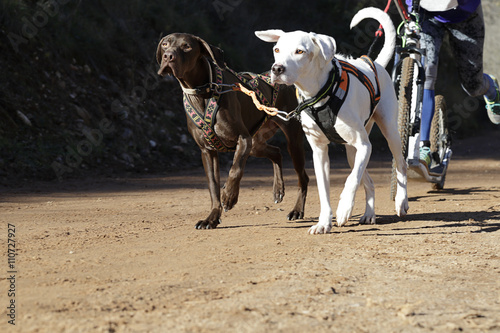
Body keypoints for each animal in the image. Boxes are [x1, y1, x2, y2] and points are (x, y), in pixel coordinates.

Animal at [156, 33, 308, 228]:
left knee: (302, 177)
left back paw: (297, 210)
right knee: (276, 152)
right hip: (256, 143)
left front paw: (229, 196)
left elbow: (235, 170)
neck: (203, 91)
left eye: (187, 46)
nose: (168, 56)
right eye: (165, 44)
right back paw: (278, 190)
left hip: (290, 140)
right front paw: (212, 217)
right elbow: (213, 187)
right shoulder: (207, 151)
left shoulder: (242, 140)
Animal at [256, 6, 408, 232]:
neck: (319, 95)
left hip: (389, 134)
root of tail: (375, 64)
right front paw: (324, 223)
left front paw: (344, 208)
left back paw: (401, 201)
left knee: (400, 165)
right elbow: (324, 191)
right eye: (277, 50)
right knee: (368, 181)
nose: (277, 69)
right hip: (352, 153)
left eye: (300, 51)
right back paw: (369, 214)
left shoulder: (365, 146)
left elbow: (351, 180)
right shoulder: (320, 152)